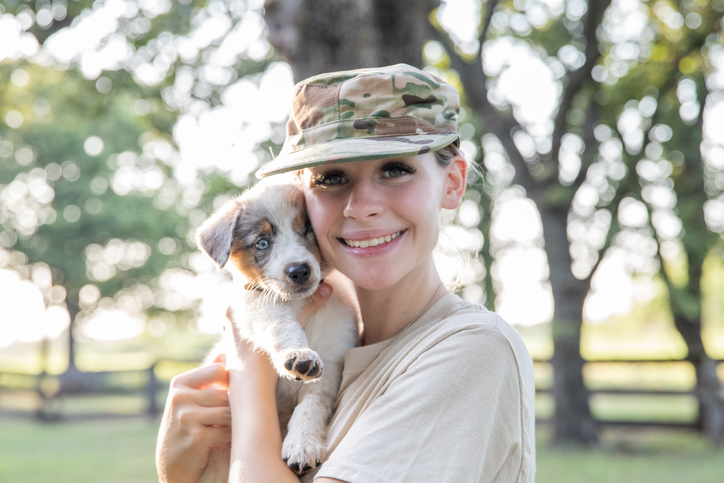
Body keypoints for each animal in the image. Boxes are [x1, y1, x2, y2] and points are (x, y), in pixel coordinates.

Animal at [195, 179, 360, 480]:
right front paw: (299, 354)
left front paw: (303, 444)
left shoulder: (332, 362)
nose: (299, 271)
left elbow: (311, 405)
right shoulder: (256, 307)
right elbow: (284, 325)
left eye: (307, 230)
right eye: (262, 243)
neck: (298, 303)